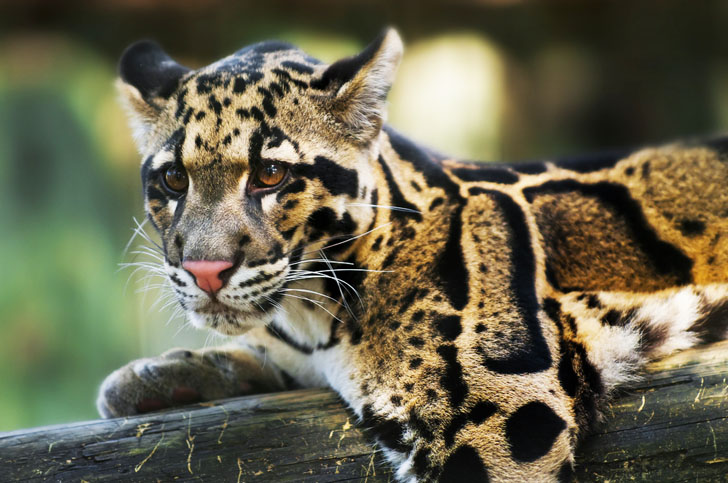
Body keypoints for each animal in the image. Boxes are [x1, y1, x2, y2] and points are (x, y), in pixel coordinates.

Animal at [97, 28, 728, 481]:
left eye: (271, 174)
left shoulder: (502, 415)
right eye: (174, 180)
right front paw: (161, 375)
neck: (314, 311)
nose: (204, 270)